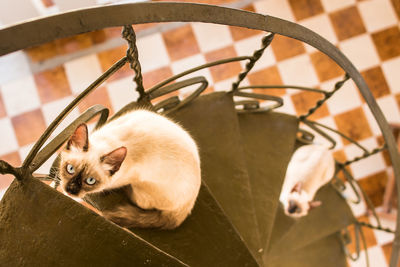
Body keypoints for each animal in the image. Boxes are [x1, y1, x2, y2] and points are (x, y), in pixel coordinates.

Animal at [57, 110, 202, 229]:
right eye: (70, 169)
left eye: (90, 181)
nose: (70, 190)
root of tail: (186, 208)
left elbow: (108, 187)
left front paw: (105, 191)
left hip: (141, 192)